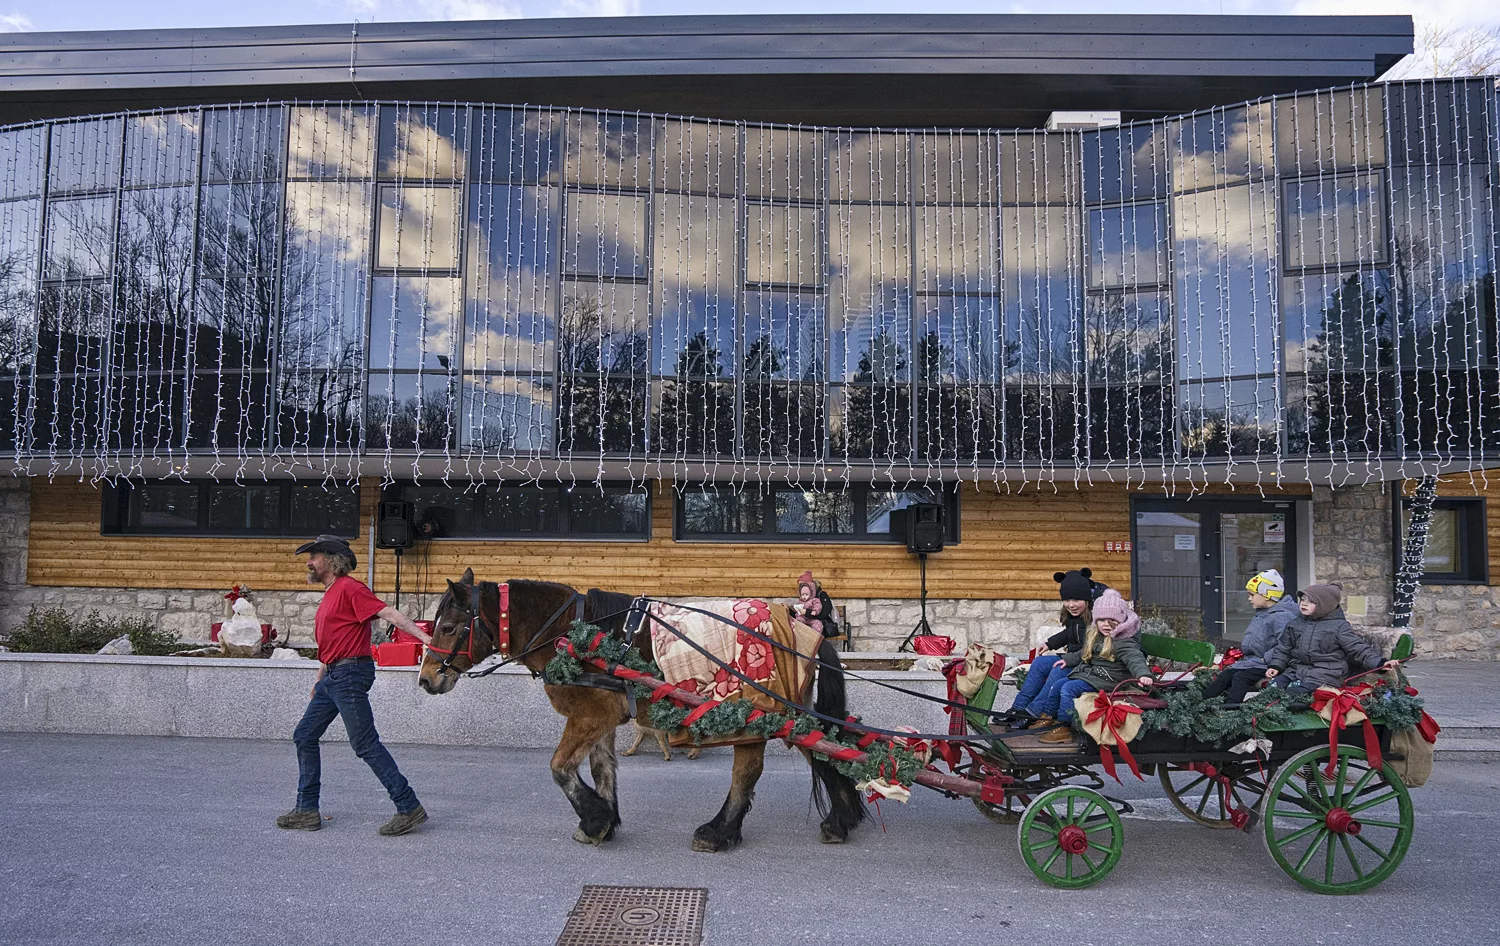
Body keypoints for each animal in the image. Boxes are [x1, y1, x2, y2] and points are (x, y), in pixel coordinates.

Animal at [417, 569, 866, 852]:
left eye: (449, 628)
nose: (425, 679)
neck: (574, 633)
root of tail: (803, 632)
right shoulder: (602, 718)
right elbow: (602, 769)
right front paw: (603, 821)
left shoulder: (589, 716)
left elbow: (560, 768)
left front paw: (595, 819)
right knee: (822, 750)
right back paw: (839, 818)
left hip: (758, 711)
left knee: (754, 769)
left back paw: (720, 831)